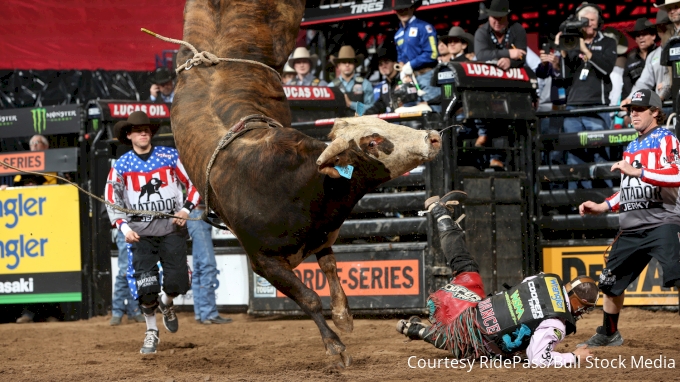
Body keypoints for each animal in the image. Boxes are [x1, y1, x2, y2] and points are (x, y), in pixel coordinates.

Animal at [171, 0, 440, 366]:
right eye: (372, 141)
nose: (432, 137)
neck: (294, 186)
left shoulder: (322, 232)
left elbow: (329, 265)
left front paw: (343, 317)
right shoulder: (263, 262)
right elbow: (309, 296)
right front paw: (336, 347)